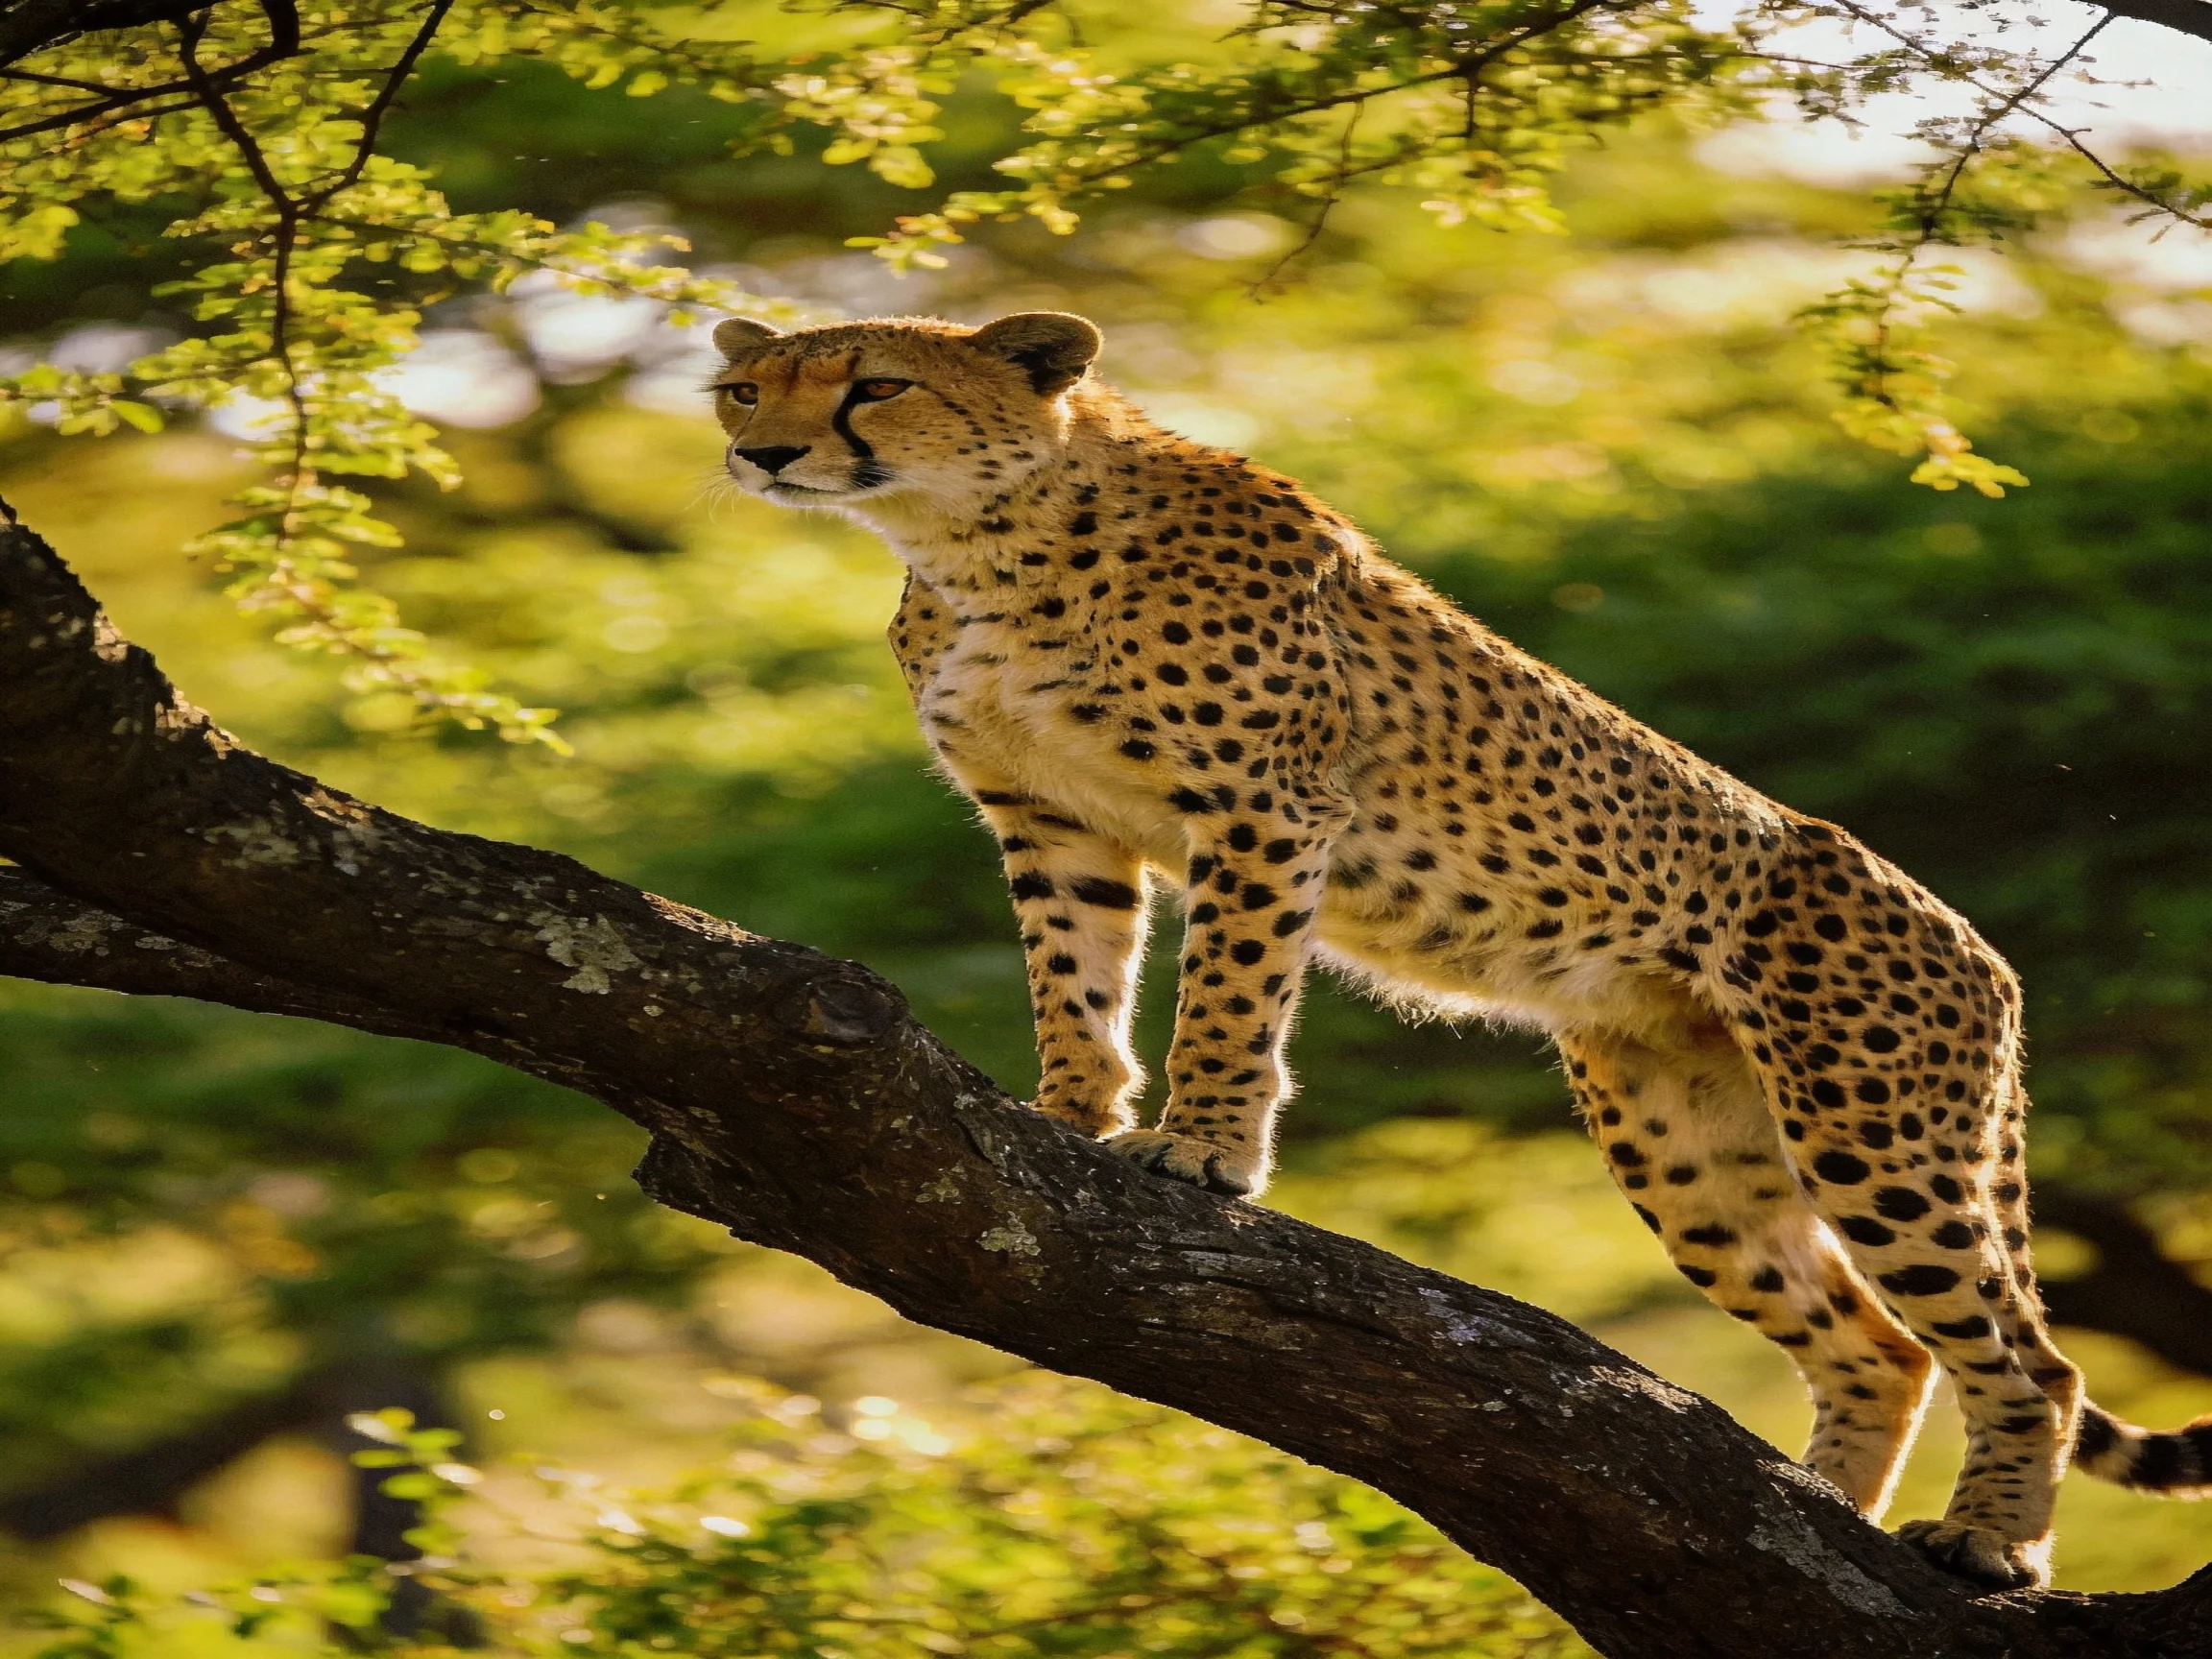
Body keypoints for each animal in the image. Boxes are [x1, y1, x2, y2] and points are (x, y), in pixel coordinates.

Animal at [707, 307, 2212, 1591]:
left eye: (872, 385)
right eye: (745, 387)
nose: (759, 454)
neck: (975, 539)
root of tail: (1981, 948)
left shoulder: (1264, 804)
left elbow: (1229, 996)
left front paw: (1203, 1151)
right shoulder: (1052, 819)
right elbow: (1073, 986)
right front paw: (1068, 1118)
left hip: (1872, 1126)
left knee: (2028, 1363)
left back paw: (1989, 1545)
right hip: (1689, 1155)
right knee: (1883, 1348)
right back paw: (1812, 1522)